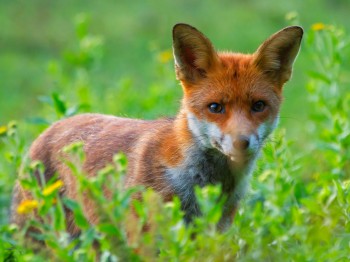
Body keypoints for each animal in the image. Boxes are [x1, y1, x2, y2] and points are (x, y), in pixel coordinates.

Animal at [9, 23, 302, 234]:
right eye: (215, 107)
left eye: (258, 106)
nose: (241, 142)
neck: (202, 182)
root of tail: (54, 124)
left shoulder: (215, 231)